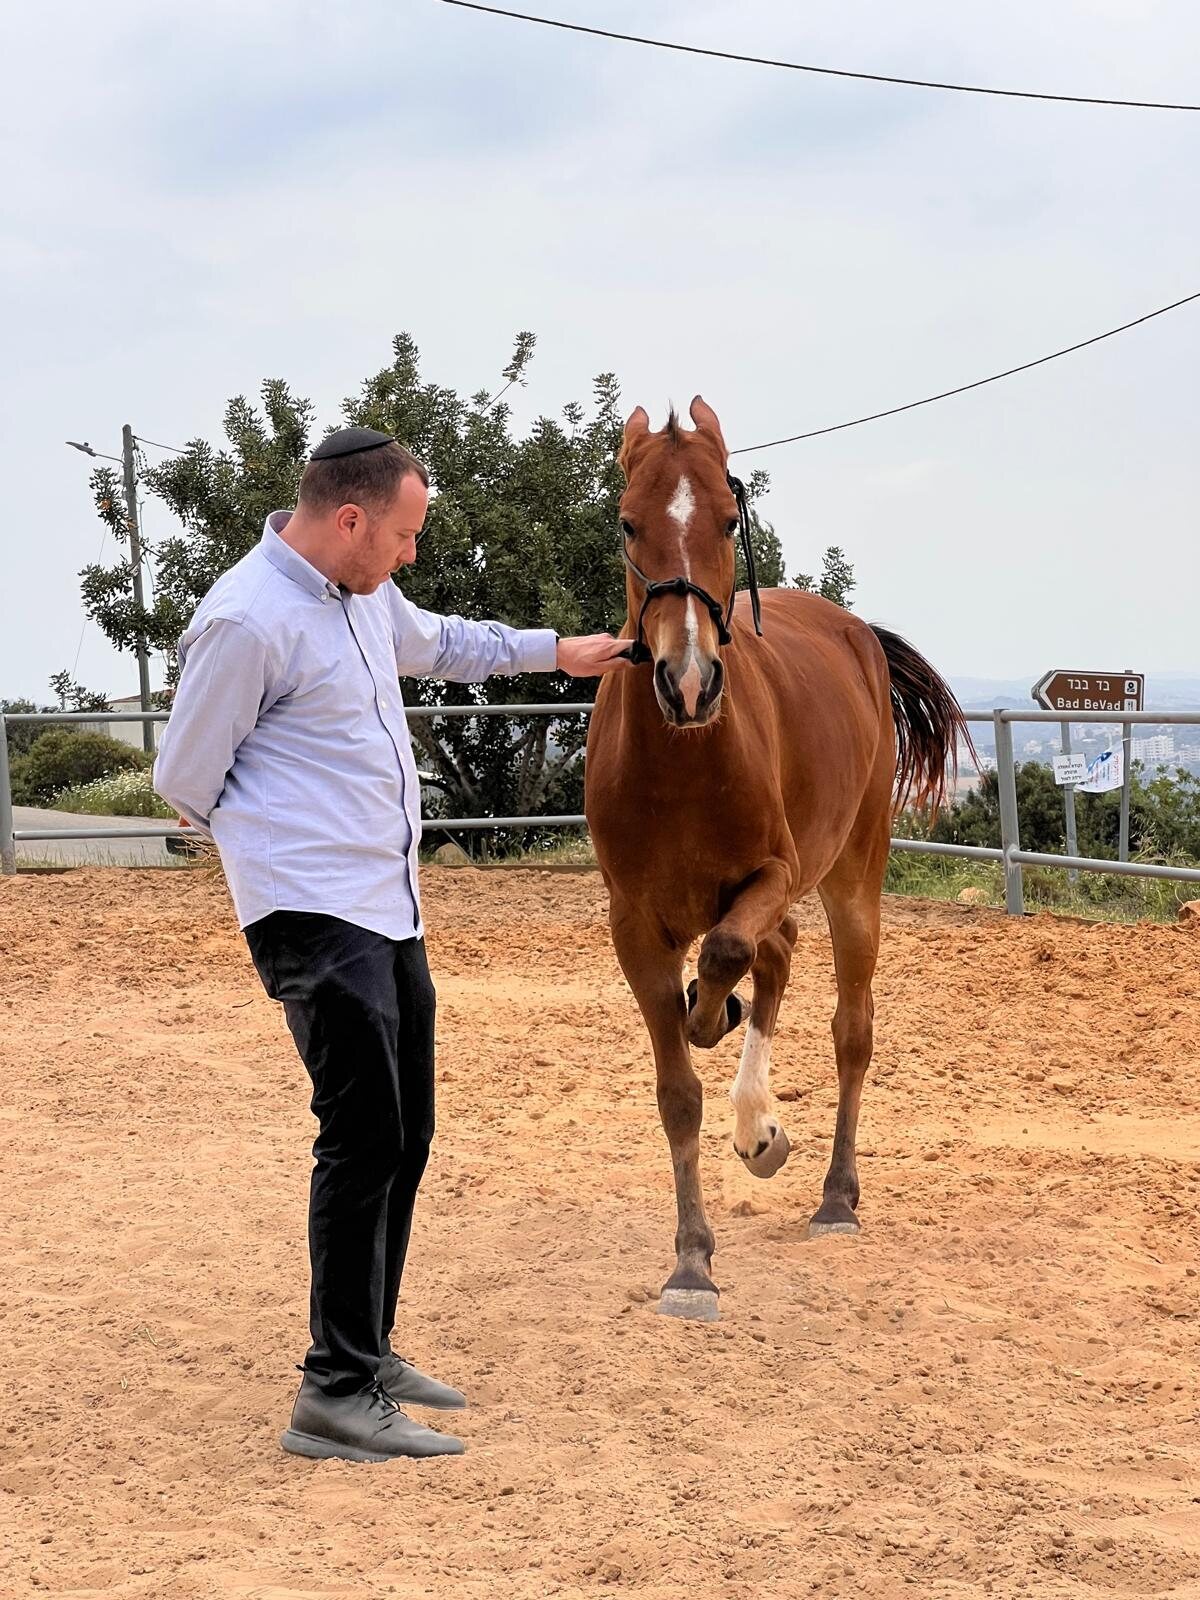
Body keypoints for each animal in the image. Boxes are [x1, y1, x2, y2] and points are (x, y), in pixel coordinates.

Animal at [584, 396, 970, 1321]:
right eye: (628, 523)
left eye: (729, 520)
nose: (689, 682)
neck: (683, 760)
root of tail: (855, 633)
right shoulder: (633, 927)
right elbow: (678, 1091)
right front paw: (692, 1261)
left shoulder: (772, 877)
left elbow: (726, 953)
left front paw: (715, 1026)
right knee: (781, 956)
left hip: (854, 879)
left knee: (848, 1028)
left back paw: (832, 1192)